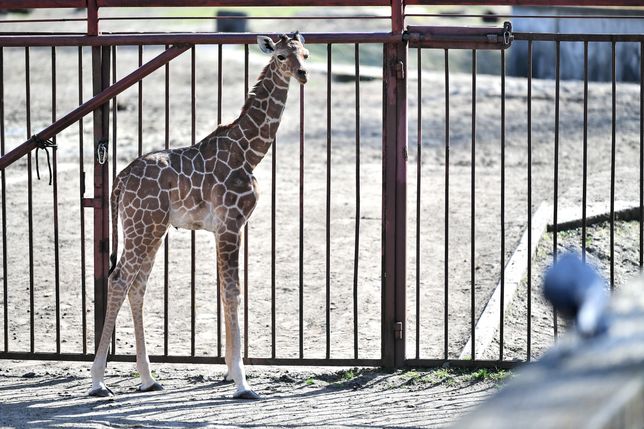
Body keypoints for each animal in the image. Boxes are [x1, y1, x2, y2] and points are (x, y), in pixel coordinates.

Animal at [90, 32, 310, 398]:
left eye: (305, 53)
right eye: (281, 55)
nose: (303, 73)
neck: (249, 152)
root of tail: (119, 180)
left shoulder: (227, 227)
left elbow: (226, 290)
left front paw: (230, 373)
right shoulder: (231, 224)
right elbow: (233, 291)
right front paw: (242, 383)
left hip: (152, 228)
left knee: (138, 286)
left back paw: (148, 379)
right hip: (143, 226)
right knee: (120, 279)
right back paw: (97, 382)